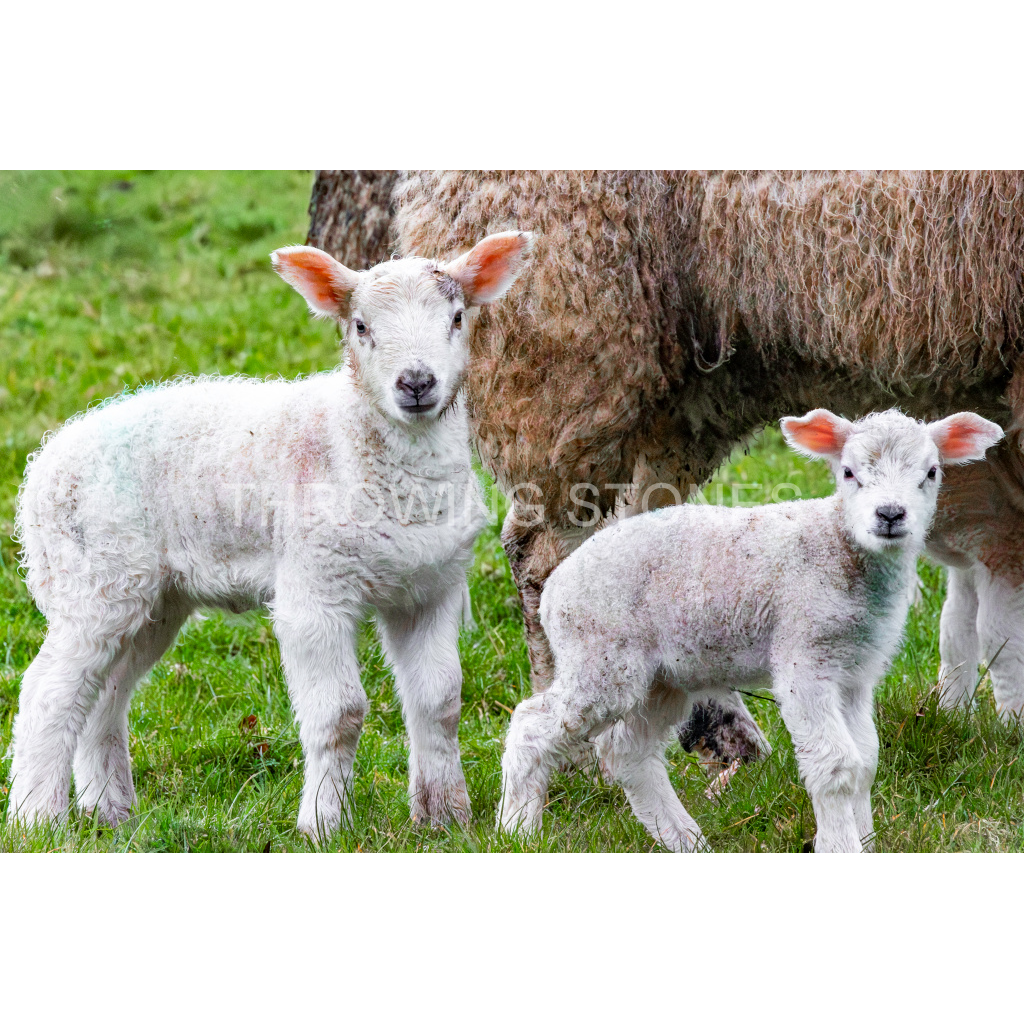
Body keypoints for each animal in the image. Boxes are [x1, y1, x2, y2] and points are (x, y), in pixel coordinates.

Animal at [8, 230, 533, 837]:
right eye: (360, 327)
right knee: (48, 693)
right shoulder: (315, 588)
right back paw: (36, 818)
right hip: (94, 579)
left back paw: (111, 813)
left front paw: (446, 819)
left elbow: (440, 703)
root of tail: (41, 467)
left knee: (104, 697)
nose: (417, 384)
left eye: (456, 317)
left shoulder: (430, 589)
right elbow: (341, 714)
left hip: (152, 599)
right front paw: (323, 824)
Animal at [308, 169, 1024, 771]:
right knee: (545, 552)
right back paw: (583, 755)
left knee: (651, 537)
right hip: (572, 335)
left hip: (696, 376)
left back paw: (718, 733)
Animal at [498, 408, 1003, 852]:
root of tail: (555, 589)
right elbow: (836, 765)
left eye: (931, 473)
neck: (838, 546)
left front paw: (867, 841)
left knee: (629, 752)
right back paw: (516, 832)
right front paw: (840, 844)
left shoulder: (855, 673)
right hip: (601, 657)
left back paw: (685, 841)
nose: (891, 514)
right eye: (849, 473)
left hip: (662, 676)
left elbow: (865, 761)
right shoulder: (804, 661)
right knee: (532, 725)